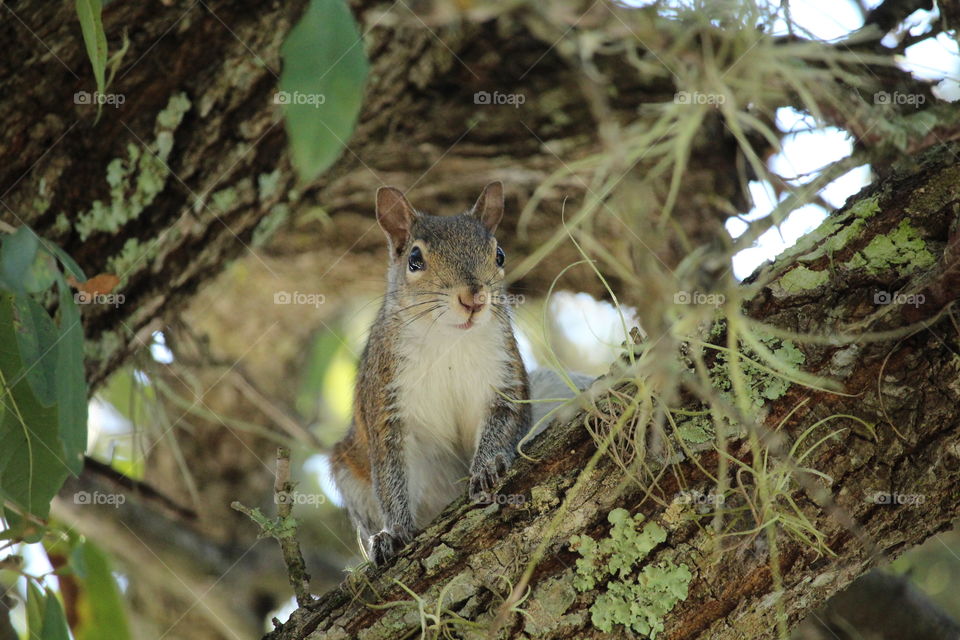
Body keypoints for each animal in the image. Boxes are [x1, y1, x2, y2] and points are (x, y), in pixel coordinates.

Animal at [326, 181, 528, 564]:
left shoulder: (504, 377)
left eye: (500, 255)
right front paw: (394, 531)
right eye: (415, 260)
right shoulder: (386, 402)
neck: (448, 339)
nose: (474, 298)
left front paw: (487, 466)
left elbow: (505, 420)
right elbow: (391, 474)